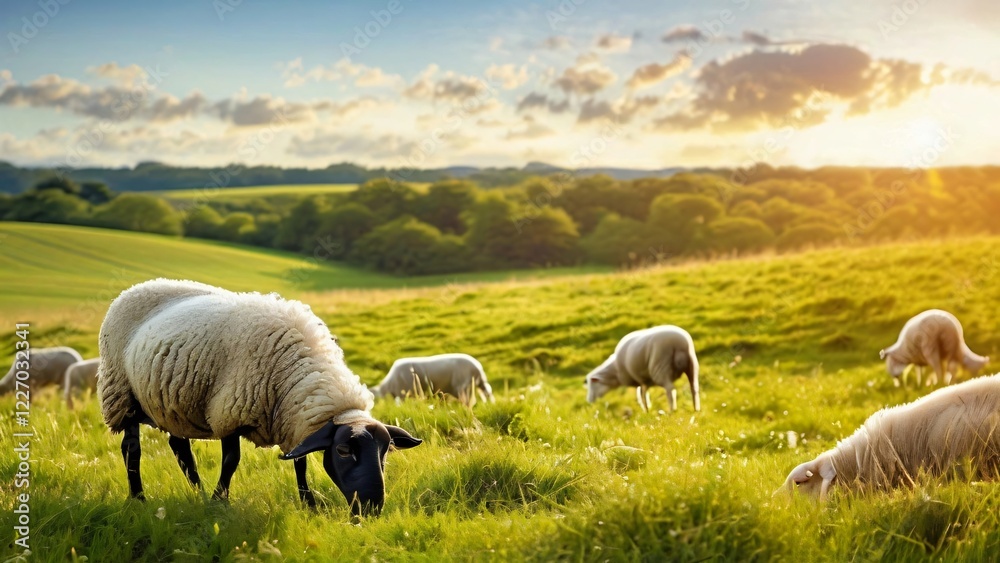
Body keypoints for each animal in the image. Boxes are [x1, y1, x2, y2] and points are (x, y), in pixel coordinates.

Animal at [97, 278, 421, 517]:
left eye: (387, 450)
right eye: (343, 451)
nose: (371, 509)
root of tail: (137, 287)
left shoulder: (293, 420)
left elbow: (300, 462)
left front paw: (309, 504)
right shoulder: (229, 412)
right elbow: (231, 460)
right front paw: (219, 502)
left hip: (173, 403)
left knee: (180, 449)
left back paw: (196, 493)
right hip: (122, 394)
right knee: (131, 449)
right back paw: (139, 498)